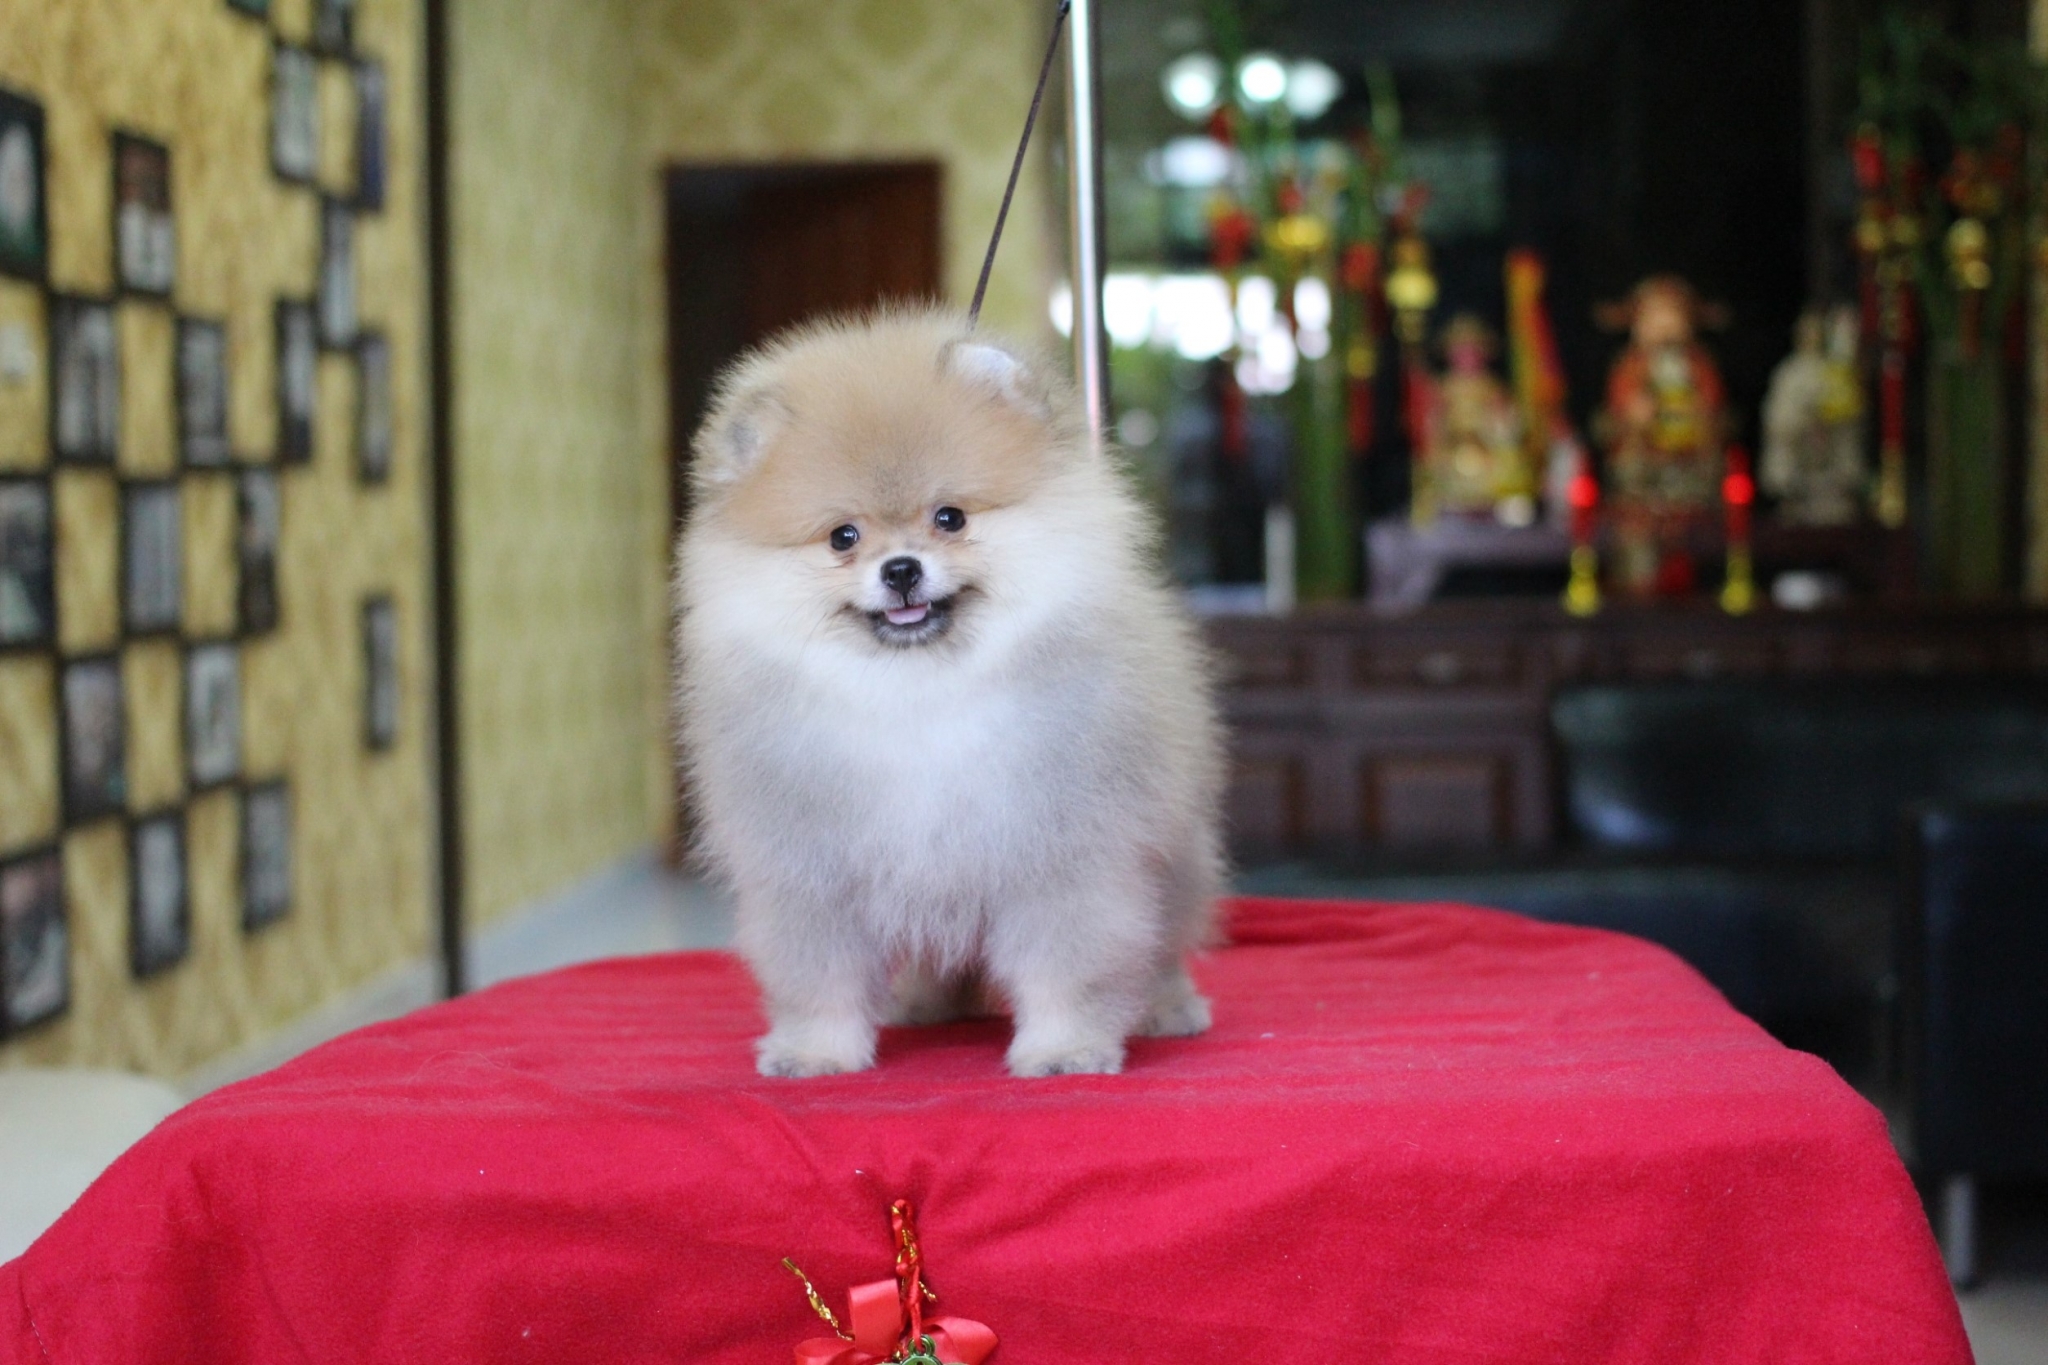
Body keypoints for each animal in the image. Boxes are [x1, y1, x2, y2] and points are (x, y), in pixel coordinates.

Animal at [673, 307, 1223, 1078]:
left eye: (950, 518)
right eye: (843, 536)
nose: (901, 569)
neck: (918, 693)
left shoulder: (1064, 850)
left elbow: (1070, 963)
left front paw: (1065, 1047)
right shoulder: (812, 872)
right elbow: (817, 977)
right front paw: (816, 1051)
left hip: (1173, 852)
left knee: (1165, 940)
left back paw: (1166, 1006)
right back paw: (926, 1001)